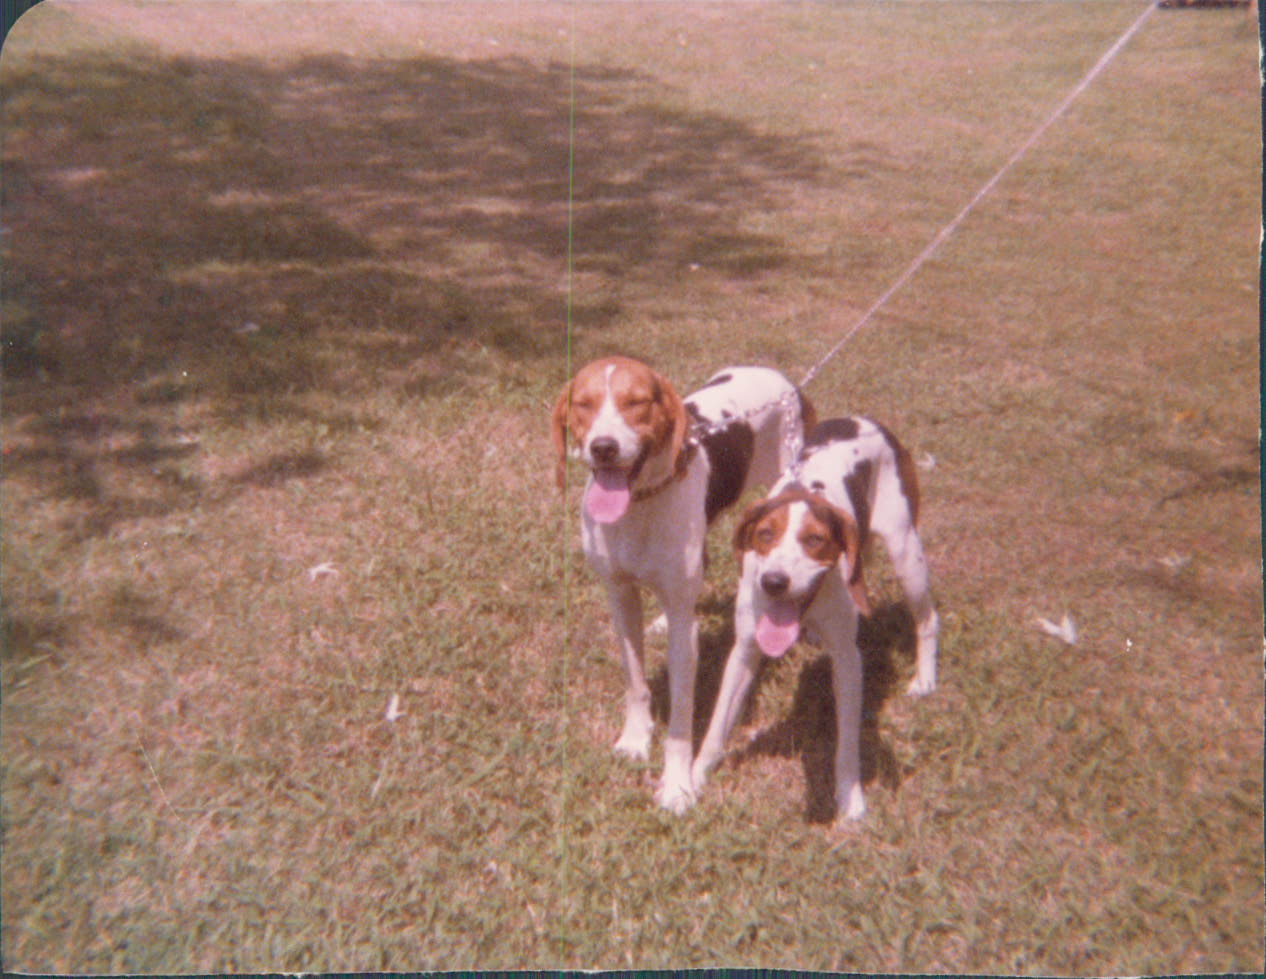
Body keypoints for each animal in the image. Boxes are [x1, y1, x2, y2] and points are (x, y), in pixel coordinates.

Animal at [557, 354, 820, 815]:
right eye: (583, 404)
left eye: (637, 402)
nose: (603, 447)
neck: (642, 502)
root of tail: (786, 380)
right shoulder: (620, 597)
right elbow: (635, 683)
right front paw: (635, 739)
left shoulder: (686, 632)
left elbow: (681, 721)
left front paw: (678, 785)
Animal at [688, 415, 936, 820]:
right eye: (764, 535)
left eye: (815, 540)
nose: (773, 582)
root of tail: (865, 419)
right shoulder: (744, 650)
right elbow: (716, 725)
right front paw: (689, 782)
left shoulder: (848, 661)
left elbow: (848, 743)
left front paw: (850, 798)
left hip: (906, 554)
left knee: (928, 620)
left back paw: (926, 678)